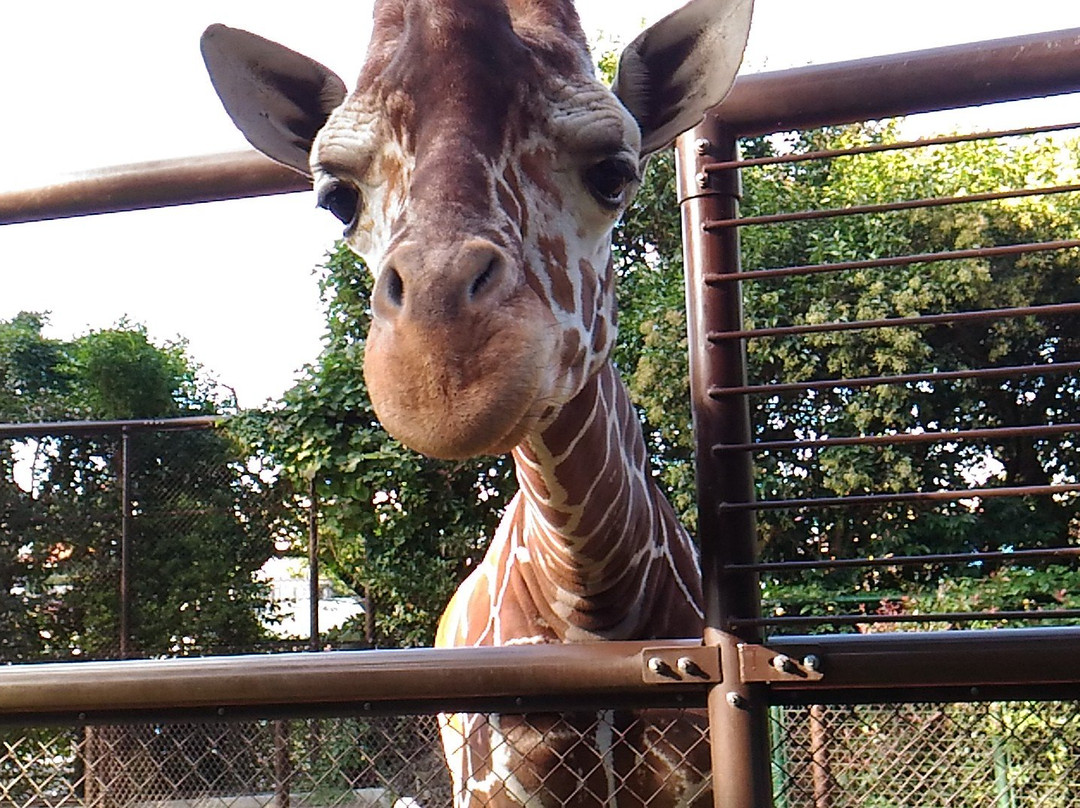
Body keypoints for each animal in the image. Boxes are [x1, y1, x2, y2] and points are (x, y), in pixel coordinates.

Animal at [204, 0, 751, 803]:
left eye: (614, 173)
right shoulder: (494, 786)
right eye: (337, 199)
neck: (594, 602)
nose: (444, 376)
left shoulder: (695, 780)